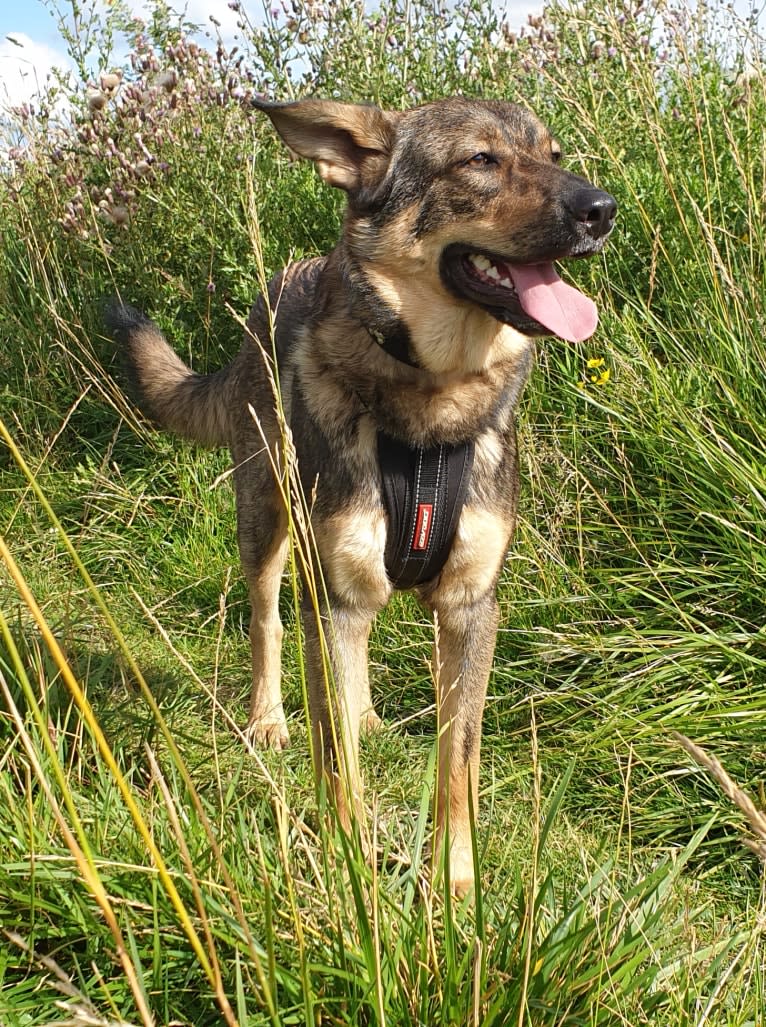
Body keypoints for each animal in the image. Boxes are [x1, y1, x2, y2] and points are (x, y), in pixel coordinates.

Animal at [108, 98, 616, 899]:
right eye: (480, 161)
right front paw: (350, 867)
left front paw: (456, 879)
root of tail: (280, 280)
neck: (432, 404)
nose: (603, 208)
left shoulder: (470, 607)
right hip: (266, 524)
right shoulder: (334, 596)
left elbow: (457, 760)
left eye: (554, 153)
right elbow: (335, 755)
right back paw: (268, 719)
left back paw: (368, 712)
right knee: (267, 623)